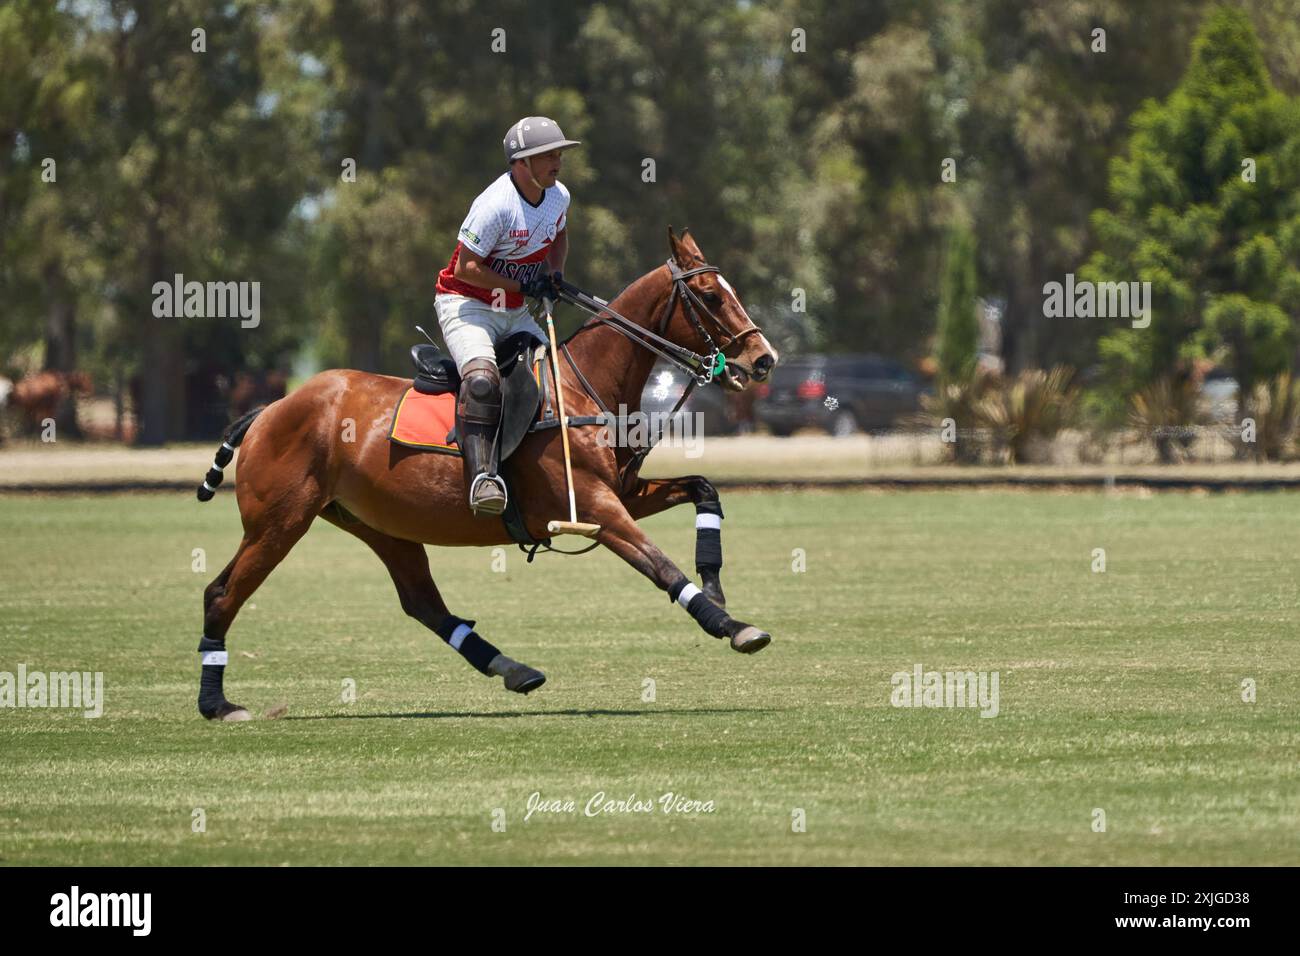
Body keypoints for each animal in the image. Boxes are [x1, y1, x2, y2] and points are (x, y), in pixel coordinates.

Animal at [192, 227, 774, 723]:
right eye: (711, 295)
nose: (763, 359)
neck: (583, 386)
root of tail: (269, 409)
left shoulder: (622, 493)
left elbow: (703, 489)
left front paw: (715, 583)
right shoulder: (593, 504)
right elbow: (658, 563)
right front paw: (734, 626)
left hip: (379, 523)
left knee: (423, 603)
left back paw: (514, 669)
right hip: (280, 521)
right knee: (221, 594)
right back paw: (218, 705)